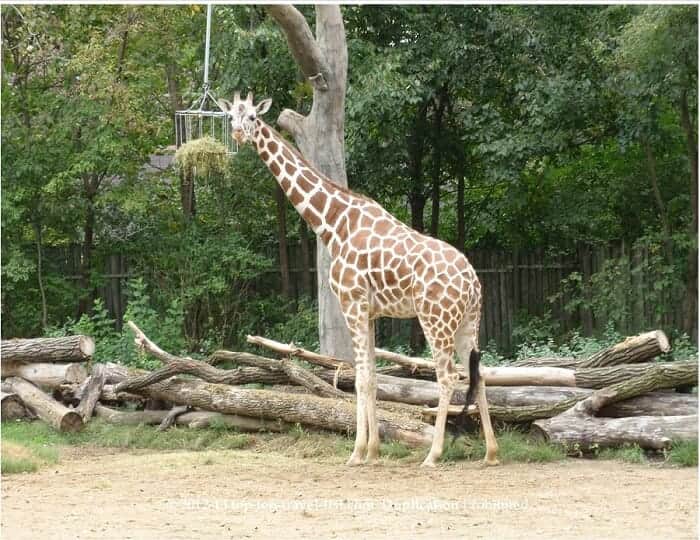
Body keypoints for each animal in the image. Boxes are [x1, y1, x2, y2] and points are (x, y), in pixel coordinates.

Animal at [218, 92, 499, 467]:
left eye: (251, 117)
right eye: (230, 117)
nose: (238, 133)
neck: (333, 224)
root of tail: (472, 280)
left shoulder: (351, 303)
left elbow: (360, 379)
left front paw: (357, 452)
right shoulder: (370, 311)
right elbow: (372, 379)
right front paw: (374, 450)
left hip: (435, 319)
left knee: (448, 376)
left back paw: (433, 454)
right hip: (469, 320)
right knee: (478, 374)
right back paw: (491, 453)